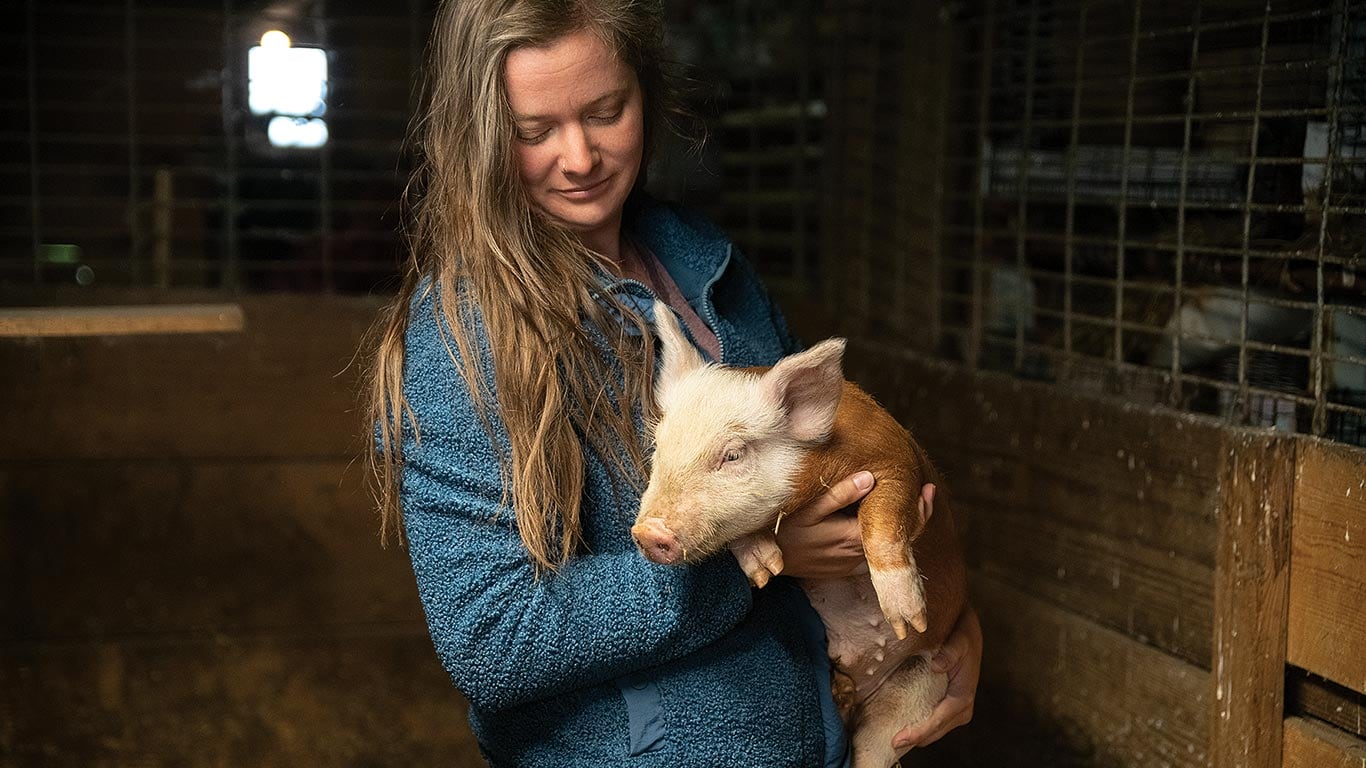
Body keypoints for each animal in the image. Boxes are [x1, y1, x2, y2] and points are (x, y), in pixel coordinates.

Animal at [631, 301, 968, 768]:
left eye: (733, 455)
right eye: (659, 448)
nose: (647, 532)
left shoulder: (898, 463)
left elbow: (881, 517)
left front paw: (907, 616)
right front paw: (764, 570)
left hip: (919, 691)